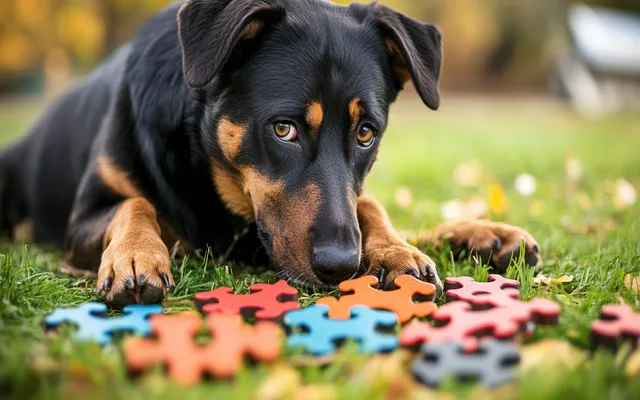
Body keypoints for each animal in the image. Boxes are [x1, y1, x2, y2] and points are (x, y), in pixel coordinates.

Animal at [0, 0, 540, 306]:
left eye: (366, 134)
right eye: (284, 129)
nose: (340, 266)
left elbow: (368, 205)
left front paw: (395, 249)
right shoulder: (83, 218)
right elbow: (133, 203)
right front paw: (136, 255)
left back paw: (485, 236)